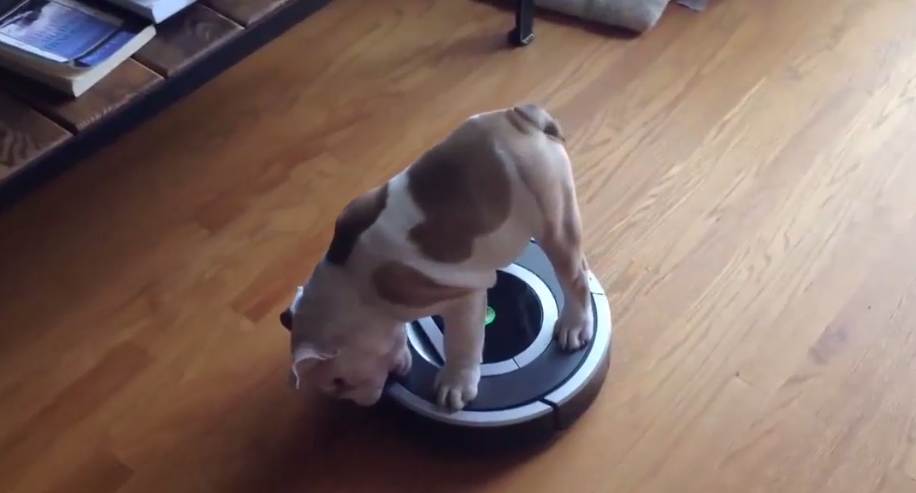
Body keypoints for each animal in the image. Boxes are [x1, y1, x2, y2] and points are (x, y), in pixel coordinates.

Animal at [280, 104, 592, 412]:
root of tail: (519, 115)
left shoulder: (462, 301)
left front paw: (455, 385)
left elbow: (462, 344)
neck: (355, 287)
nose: (360, 404)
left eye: (339, 383)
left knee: (575, 277)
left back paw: (574, 326)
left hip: (553, 220)